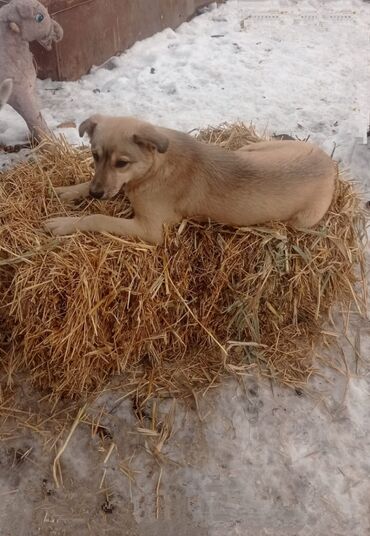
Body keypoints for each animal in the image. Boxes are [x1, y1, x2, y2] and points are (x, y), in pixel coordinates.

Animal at [44, 116, 336, 246]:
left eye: (122, 163)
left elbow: (97, 218)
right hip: (251, 149)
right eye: (95, 156)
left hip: (302, 220)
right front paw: (67, 191)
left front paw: (65, 222)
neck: (155, 167)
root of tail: (331, 166)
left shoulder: (150, 230)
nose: (96, 195)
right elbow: (87, 185)